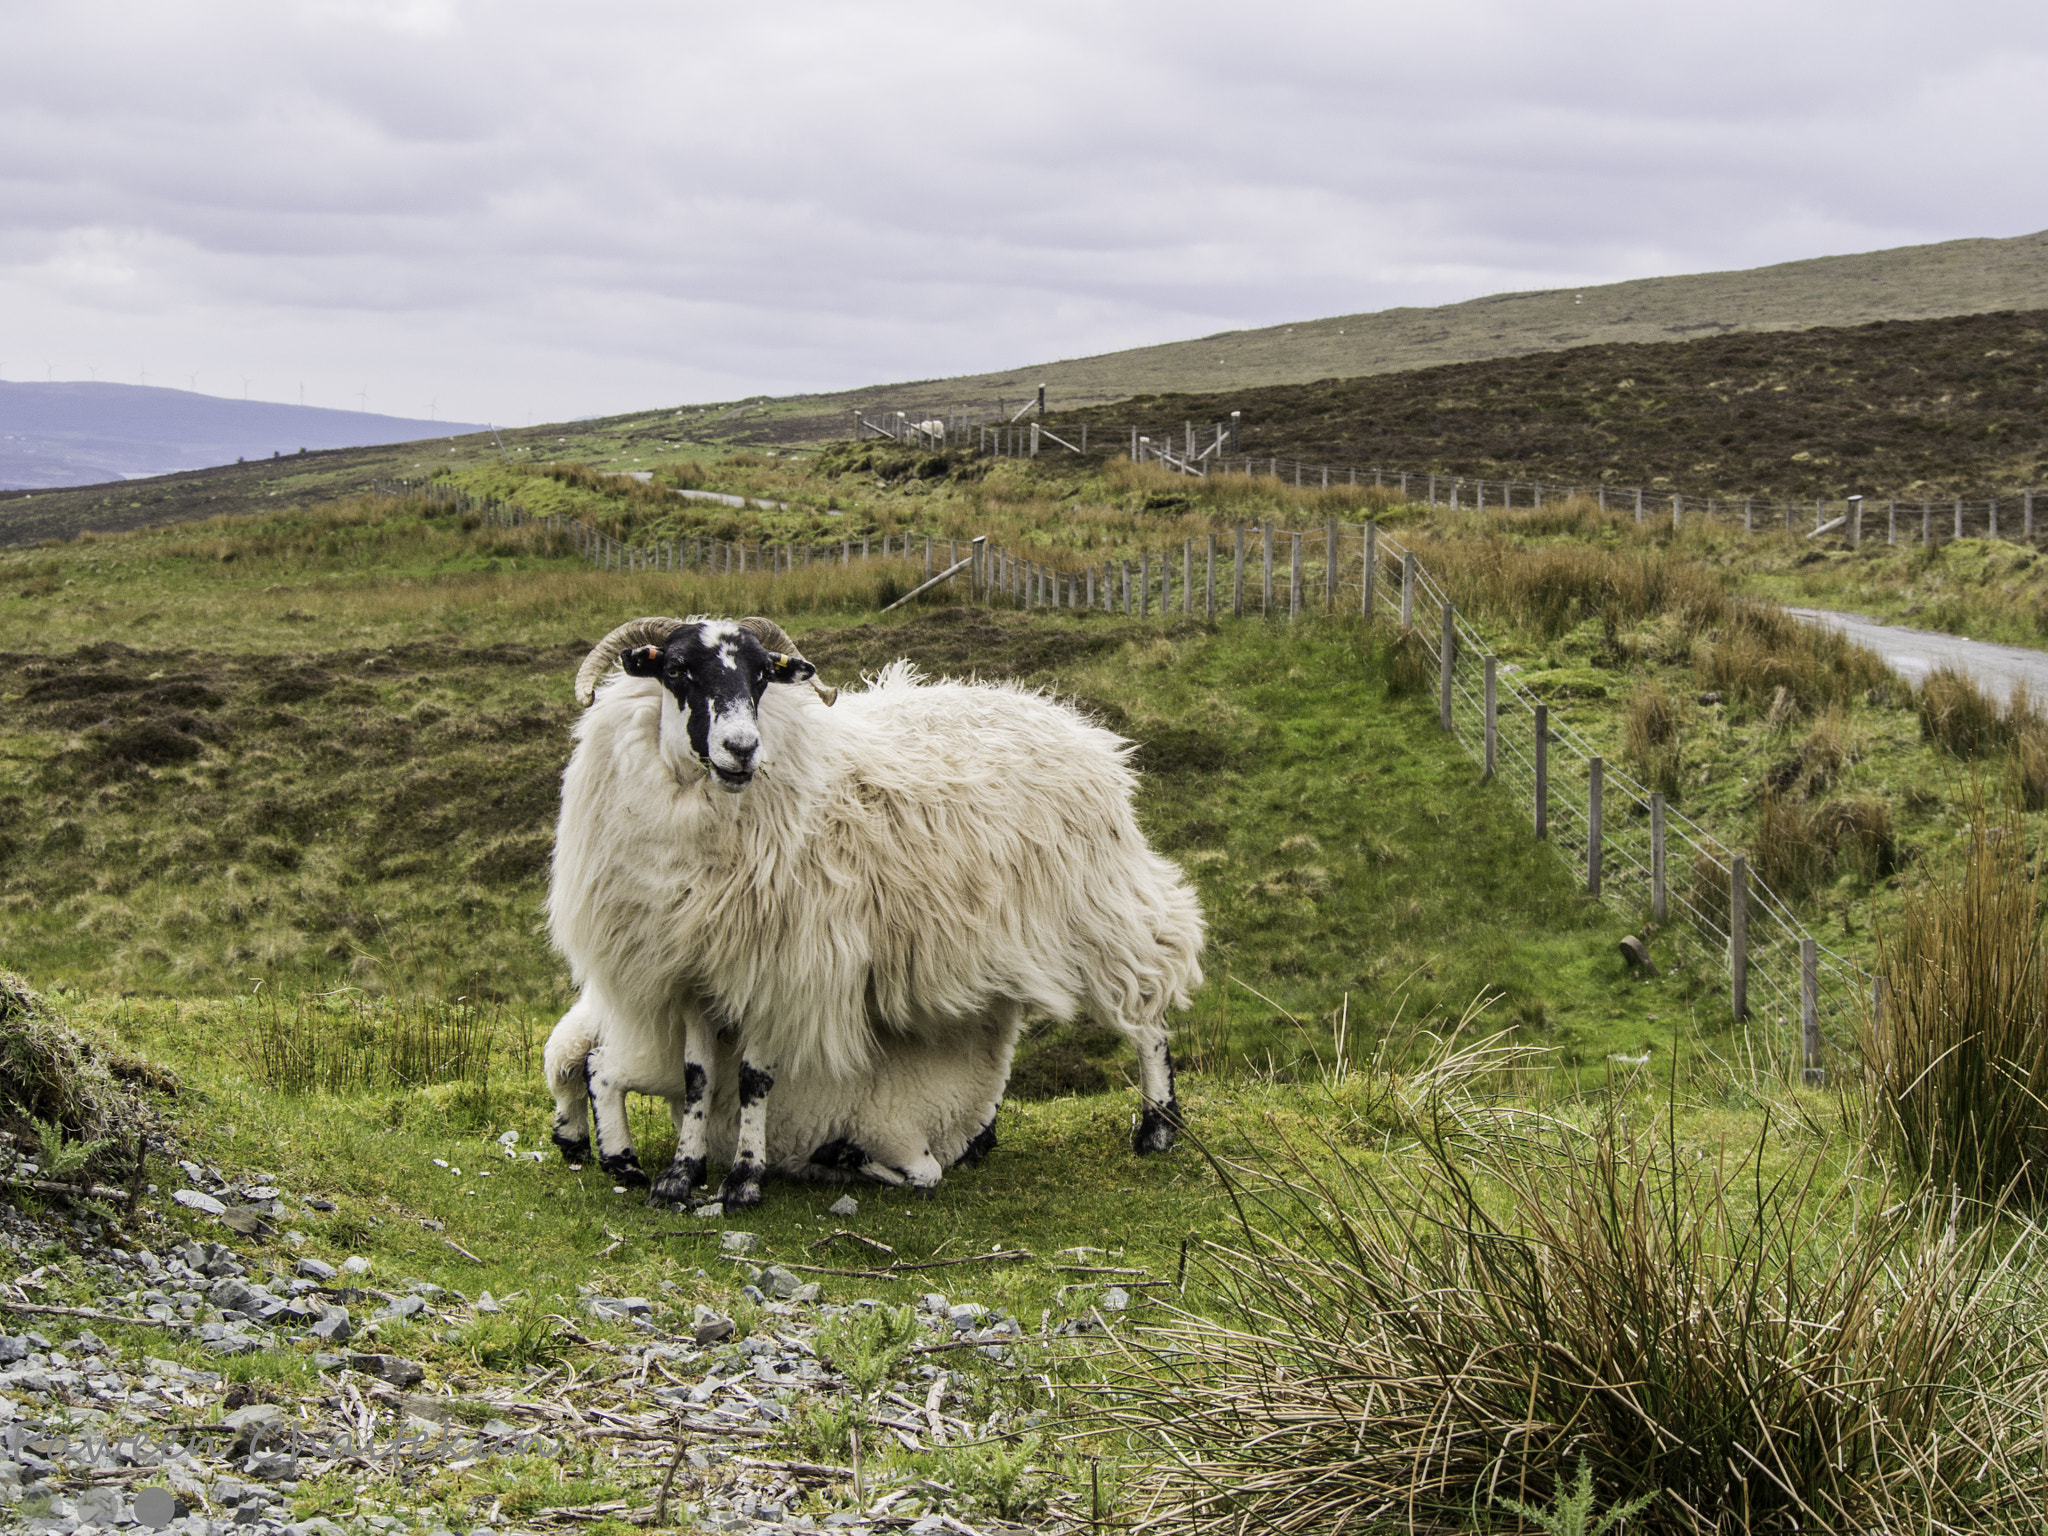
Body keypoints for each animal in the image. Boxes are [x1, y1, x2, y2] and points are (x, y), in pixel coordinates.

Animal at [548, 987, 1019, 1204]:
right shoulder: (894, 1130)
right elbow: (927, 1175)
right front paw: (844, 1158)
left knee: (566, 1058)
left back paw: (573, 1138)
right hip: (653, 1056)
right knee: (599, 1070)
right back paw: (621, 1160)